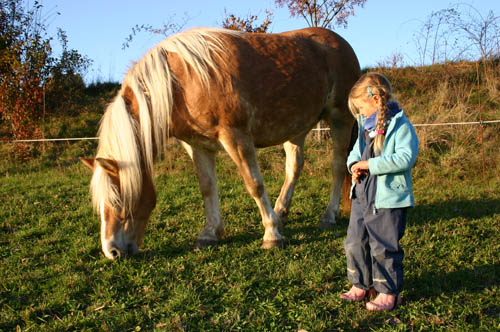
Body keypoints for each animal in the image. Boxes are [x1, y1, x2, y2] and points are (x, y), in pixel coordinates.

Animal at [81, 26, 360, 260]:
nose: (112, 251)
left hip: (340, 119)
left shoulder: (235, 137)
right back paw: (280, 211)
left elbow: (254, 184)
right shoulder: (197, 145)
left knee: (338, 168)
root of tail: (341, 43)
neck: (182, 82)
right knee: (294, 167)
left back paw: (327, 215)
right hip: (297, 127)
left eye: (118, 200)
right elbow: (207, 188)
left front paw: (271, 235)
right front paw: (210, 233)